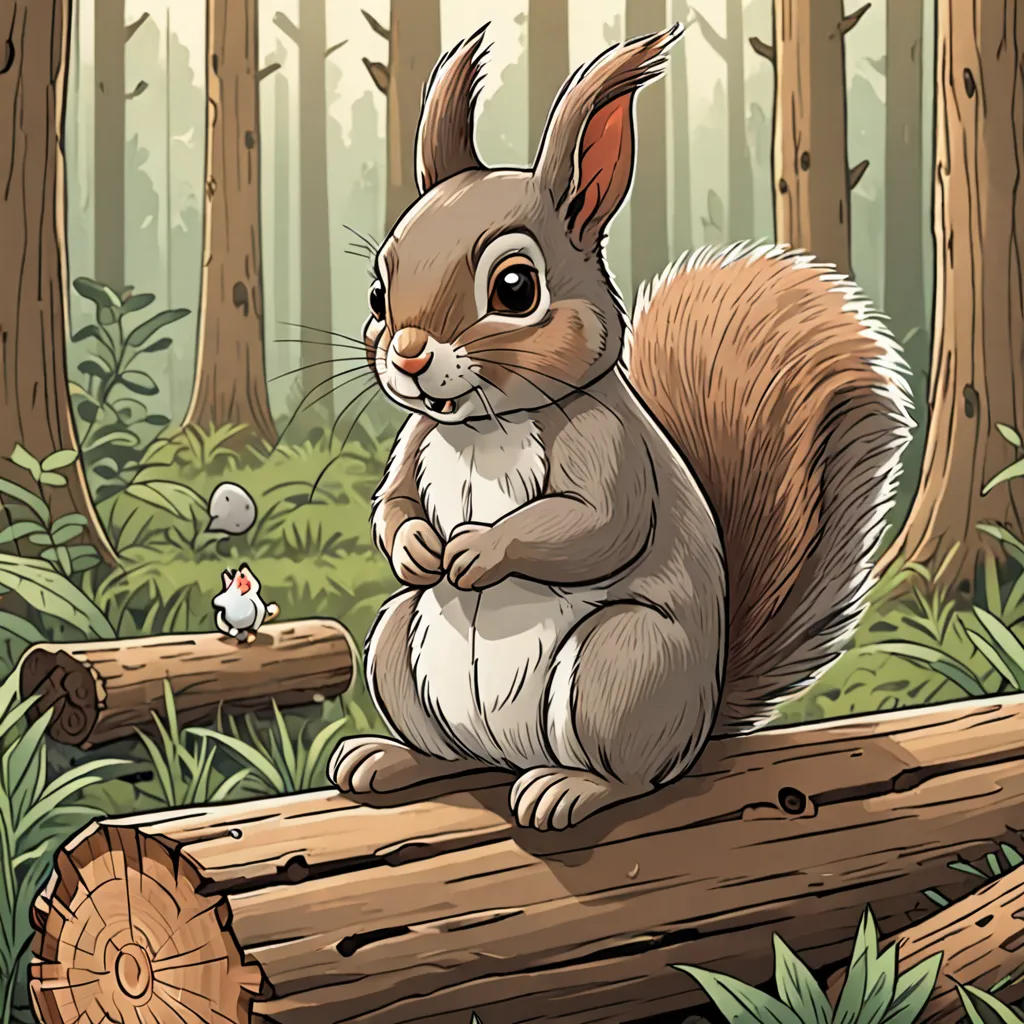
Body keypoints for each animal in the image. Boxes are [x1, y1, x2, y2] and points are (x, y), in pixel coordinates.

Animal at [327, 24, 913, 831]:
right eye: (378, 293)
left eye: (516, 288)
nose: (409, 355)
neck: (484, 426)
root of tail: (702, 718)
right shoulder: (416, 441)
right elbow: (393, 505)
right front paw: (419, 548)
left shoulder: (607, 445)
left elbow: (599, 523)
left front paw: (478, 551)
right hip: (396, 643)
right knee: (455, 754)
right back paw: (391, 758)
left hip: (623, 665)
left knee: (636, 775)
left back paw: (568, 788)